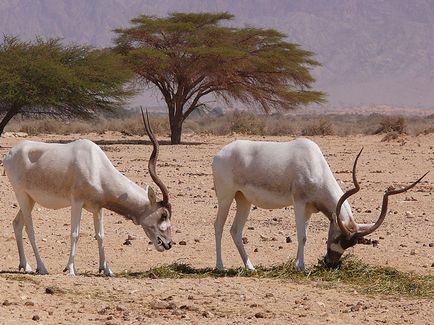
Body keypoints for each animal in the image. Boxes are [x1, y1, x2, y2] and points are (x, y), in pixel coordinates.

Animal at [4, 110, 173, 274]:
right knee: (29, 229)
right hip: (21, 195)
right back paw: (41, 267)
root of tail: (9, 154)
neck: (96, 166)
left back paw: (25, 266)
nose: (169, 244)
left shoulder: (98, 207)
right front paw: (71, 269)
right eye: (163, 215)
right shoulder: (77, 202)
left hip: (30, 199)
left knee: (17, 224)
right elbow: (75, 233)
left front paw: (106, 270)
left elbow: (100, 235)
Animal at [214, 138, 428, 272]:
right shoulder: (299, 202)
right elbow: (302, 236)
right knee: (219, 227)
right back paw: (220, 267)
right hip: (226, 198)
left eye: (350, 244)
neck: (315, 164)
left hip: (243, 200)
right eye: (339, 238)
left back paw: (250, 267)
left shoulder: (309, 209)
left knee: (235, 230)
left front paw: (296, 264)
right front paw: (301, 268)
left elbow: (305, 236)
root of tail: (219, 154)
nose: (330, 263)